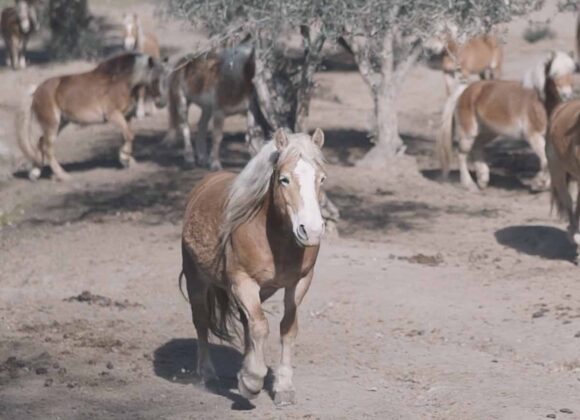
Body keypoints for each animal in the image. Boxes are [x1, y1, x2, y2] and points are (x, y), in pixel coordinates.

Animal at [17, 52, 168, 180]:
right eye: (155, 79)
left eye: (165, 77)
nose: (162, 103)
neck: (122, 82)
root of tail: (36, 91)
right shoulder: (113, 115)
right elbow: (130, 135)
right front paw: (125, 158)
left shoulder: (126, 117)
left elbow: (126, 136)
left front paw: (126, 160)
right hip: (52, 124)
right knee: (48, 147)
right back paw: (62, 175)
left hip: (61, 123)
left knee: (41, 142)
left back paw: (35, 172)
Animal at [181, 128, 326, 404]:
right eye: (284, 179)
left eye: (321, 179)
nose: (311, 231)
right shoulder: (243, 282)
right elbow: (260, 326)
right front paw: (252, 381)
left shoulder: (300, 283)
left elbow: (287, 329)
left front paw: (283, 386)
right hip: (197, 280)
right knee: (202, 321)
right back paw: (207, 375)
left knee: (246, 322)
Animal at [436, 52, 568, 192]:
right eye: (554, 74)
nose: (565, 93)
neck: (542, 103)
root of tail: (466, 90)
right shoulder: (533, 136)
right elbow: (545, 161)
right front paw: (538, 183)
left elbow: (550, 161)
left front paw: (543, 184)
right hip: (469, 134)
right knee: (461, 154)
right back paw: (470, 185)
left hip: (489, 132)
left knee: (476, 147)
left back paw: (483, 179)